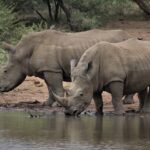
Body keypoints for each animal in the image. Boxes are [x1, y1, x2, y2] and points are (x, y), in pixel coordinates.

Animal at [0, 28, 131, 105]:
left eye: (5, 71)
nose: (0, 88)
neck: (23, 53)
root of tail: (128, 35)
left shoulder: (52, 69)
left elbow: (55, 86)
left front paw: (57, 105)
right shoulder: (48, 69)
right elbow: (50, 87)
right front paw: (47, 104)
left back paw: (127, 102)